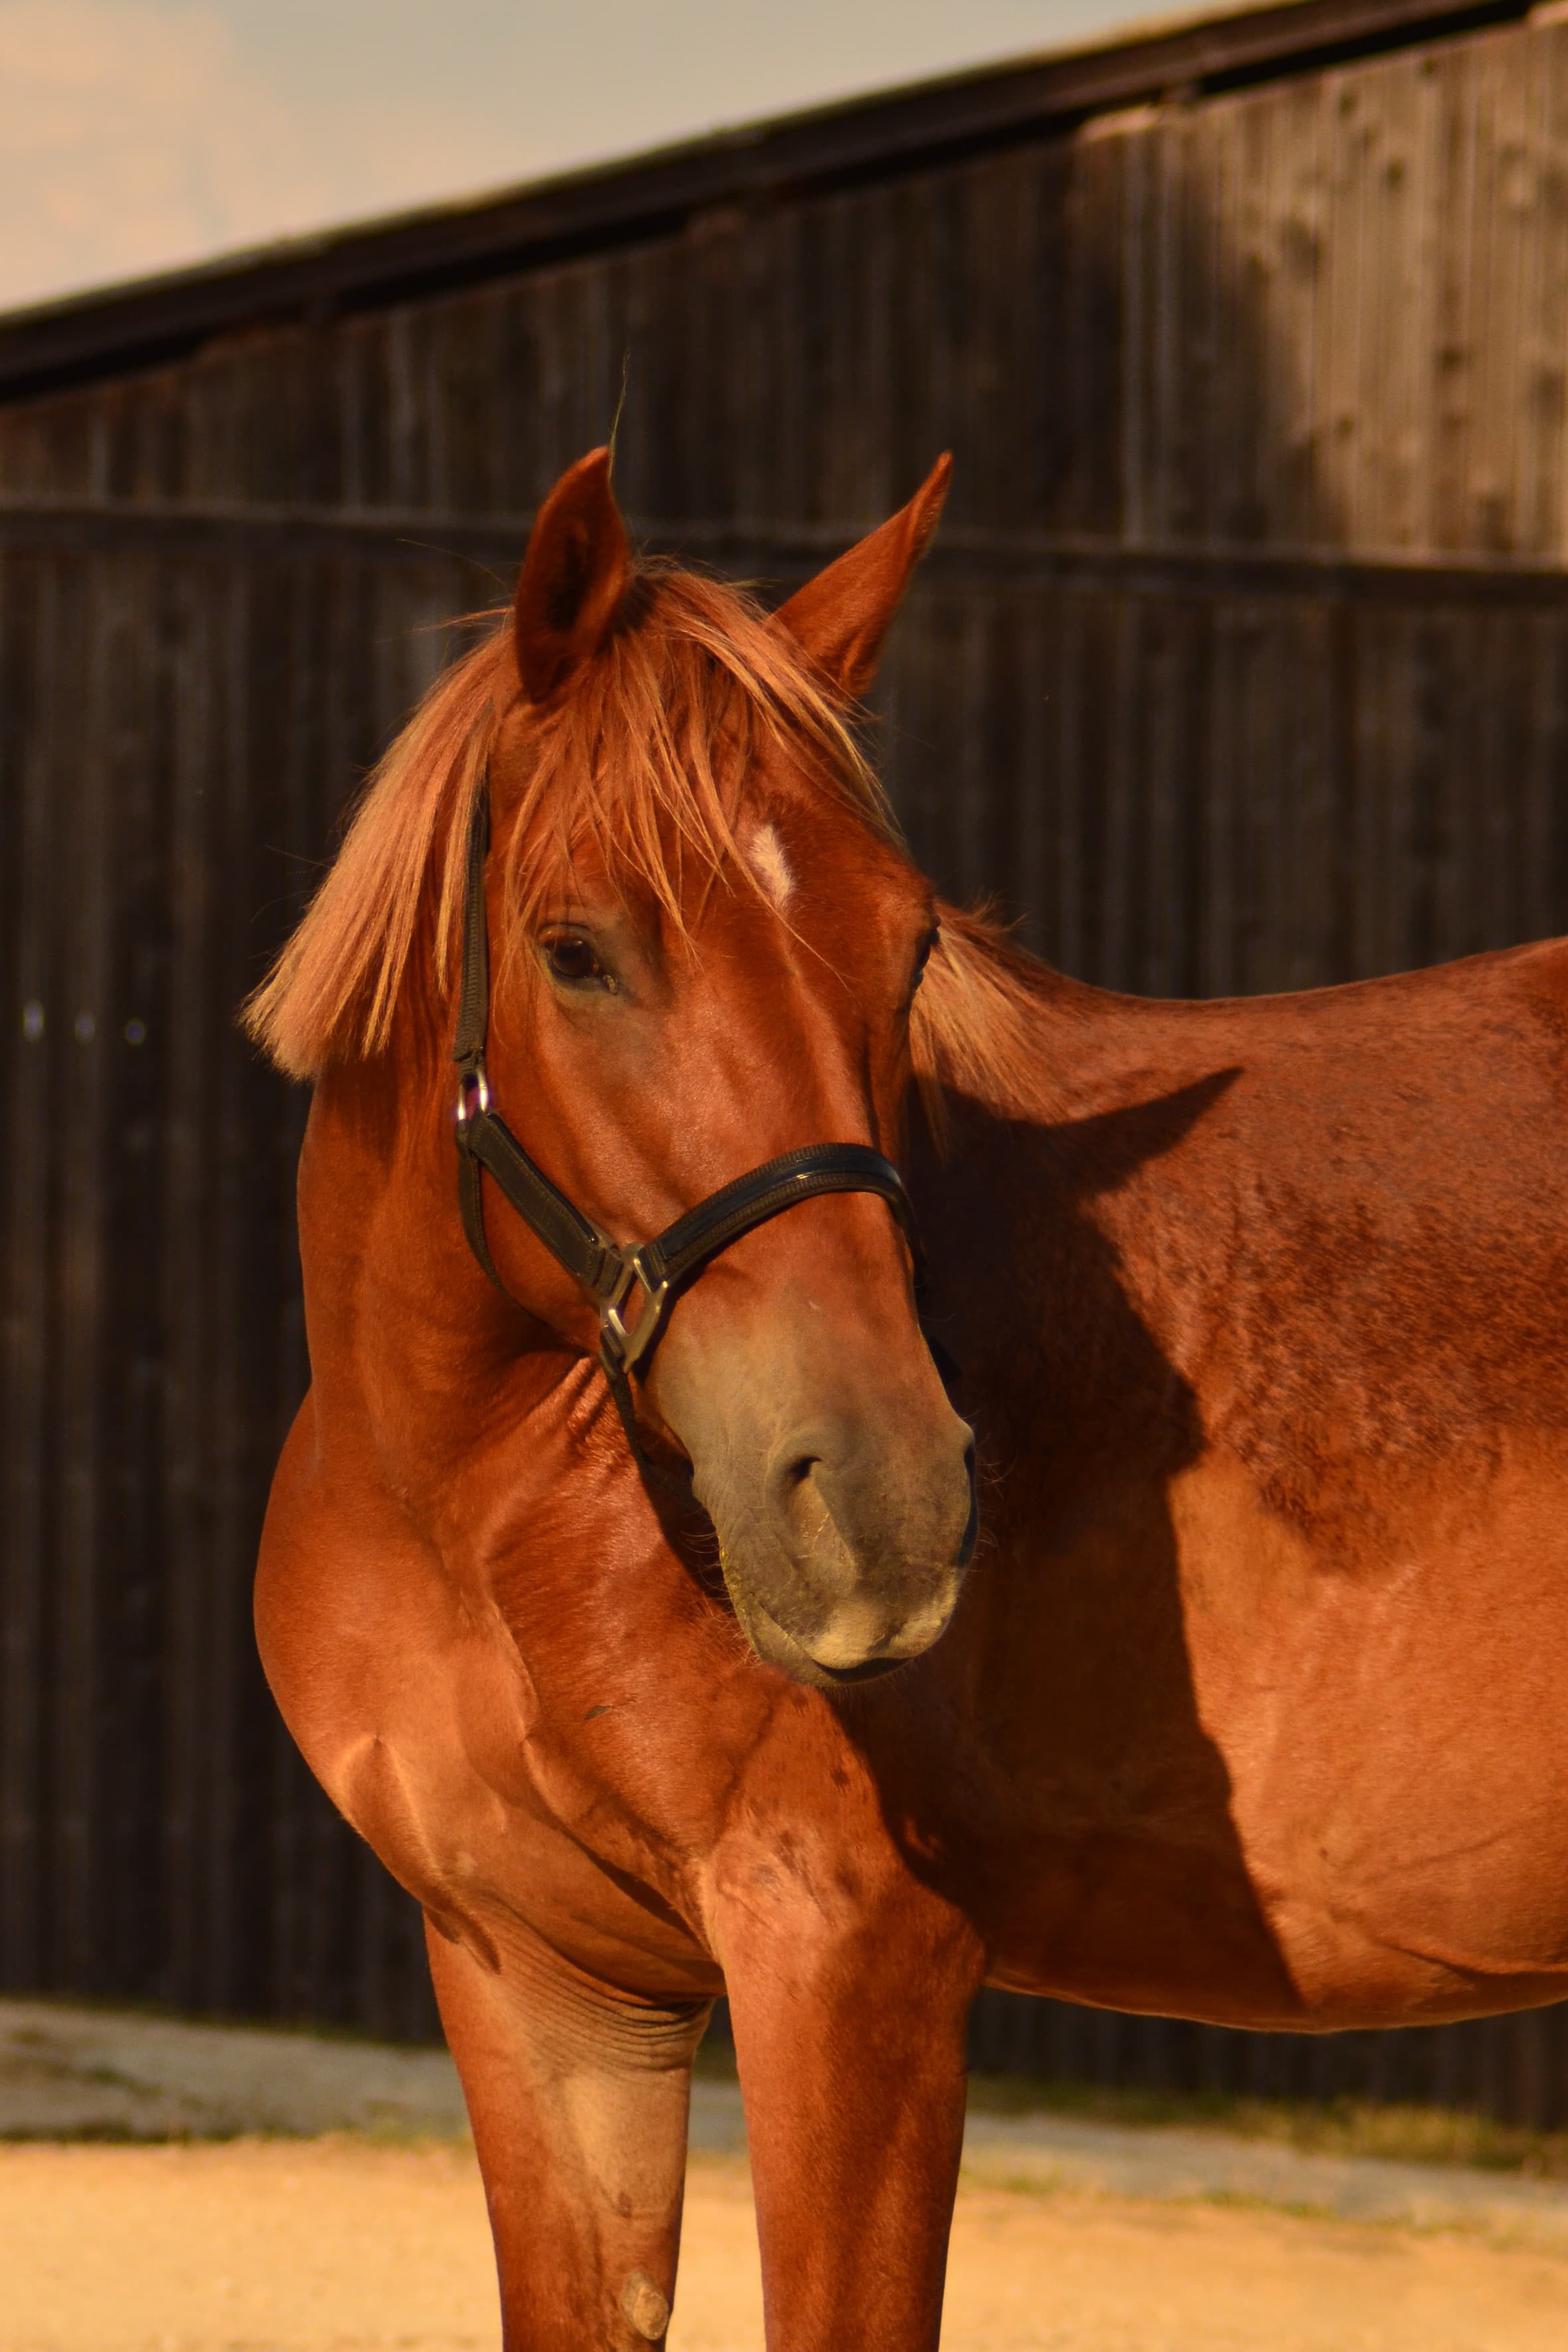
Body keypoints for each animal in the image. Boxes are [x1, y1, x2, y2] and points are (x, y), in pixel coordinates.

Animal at [246, 447, 1568, 2352]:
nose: (884, 1504)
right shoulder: (540, 1987)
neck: (487, 1508)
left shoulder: (853, 1965)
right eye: (576, 951)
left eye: (911, 944)